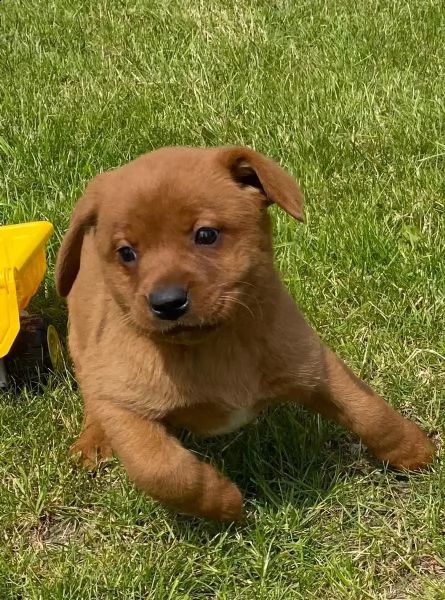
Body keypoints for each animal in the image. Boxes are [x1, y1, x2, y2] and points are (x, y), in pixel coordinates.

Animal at [55, 144, 434, 520]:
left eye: (206, 235)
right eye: (126, 253)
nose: (167, 303)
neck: (215, 346)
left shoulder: (314, 363)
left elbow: (369, 410)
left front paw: (415, 451)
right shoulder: (123, 404)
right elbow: (162, 470)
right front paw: (224, 503)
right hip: (83, 349)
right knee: (93, 398)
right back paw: (93, 442)